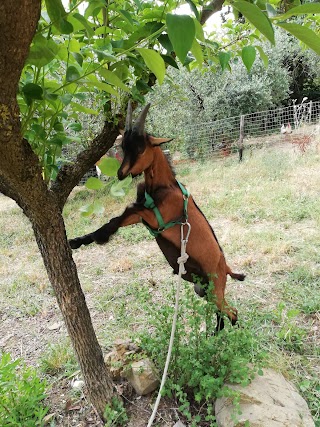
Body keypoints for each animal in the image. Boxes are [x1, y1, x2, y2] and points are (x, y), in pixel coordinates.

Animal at [69, 103, 245, 334]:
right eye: (123, 147)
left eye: (140, 148)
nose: (121, 173)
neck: (165, 187)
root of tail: (226, 267)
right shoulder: (142, 217)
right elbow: (117, 219)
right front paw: (78, 240)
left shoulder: (155, 217)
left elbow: (122, 215)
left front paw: (91, 240)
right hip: (203, 288)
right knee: (224, 311)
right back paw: (214, 335)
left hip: (215, 287)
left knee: (230, 311)